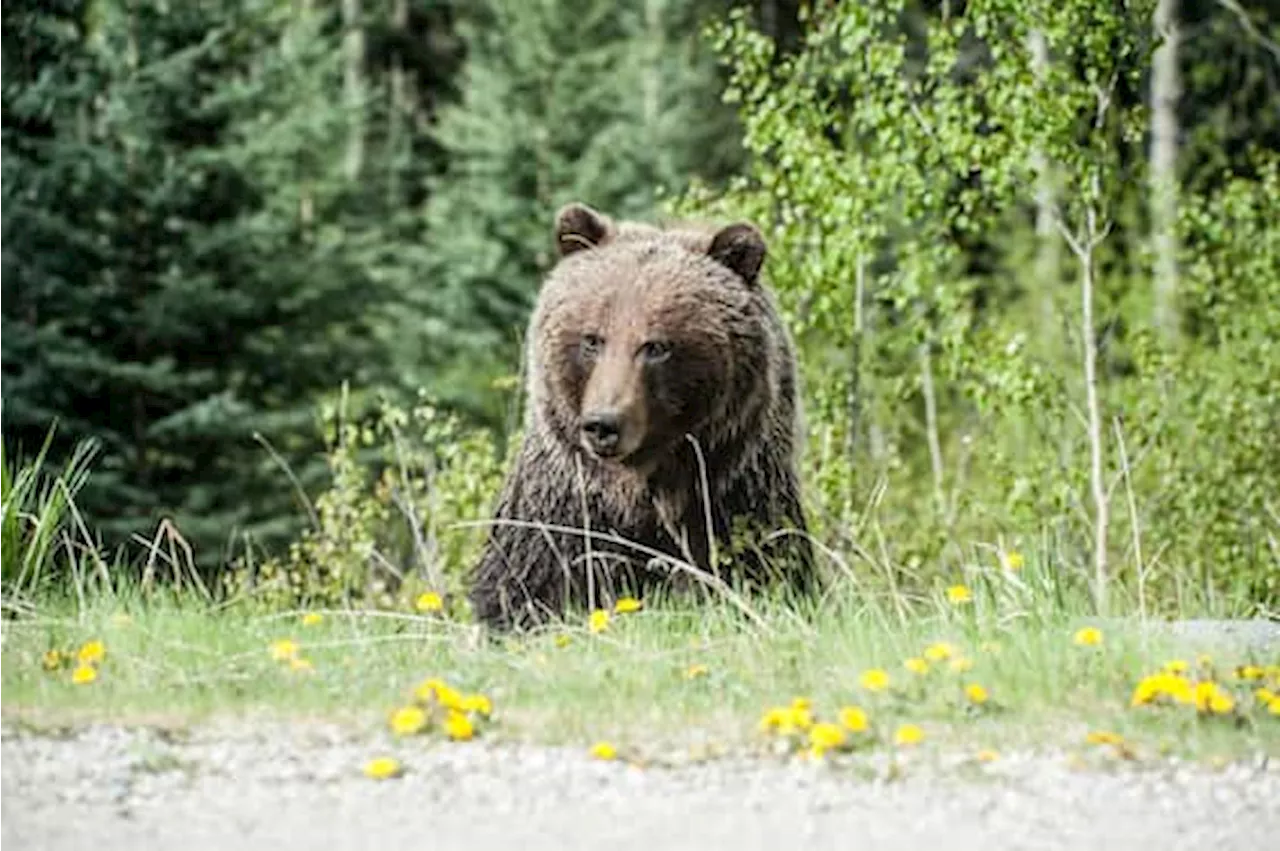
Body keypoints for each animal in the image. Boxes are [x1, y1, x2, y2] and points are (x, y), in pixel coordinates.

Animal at [465, 200, 814, 629]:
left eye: (656, 346)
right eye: (592, 339)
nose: (603, 424)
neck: (644, 491)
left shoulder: (735, 500)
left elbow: (762, 570)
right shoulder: (559, 518)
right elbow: (524, 591)